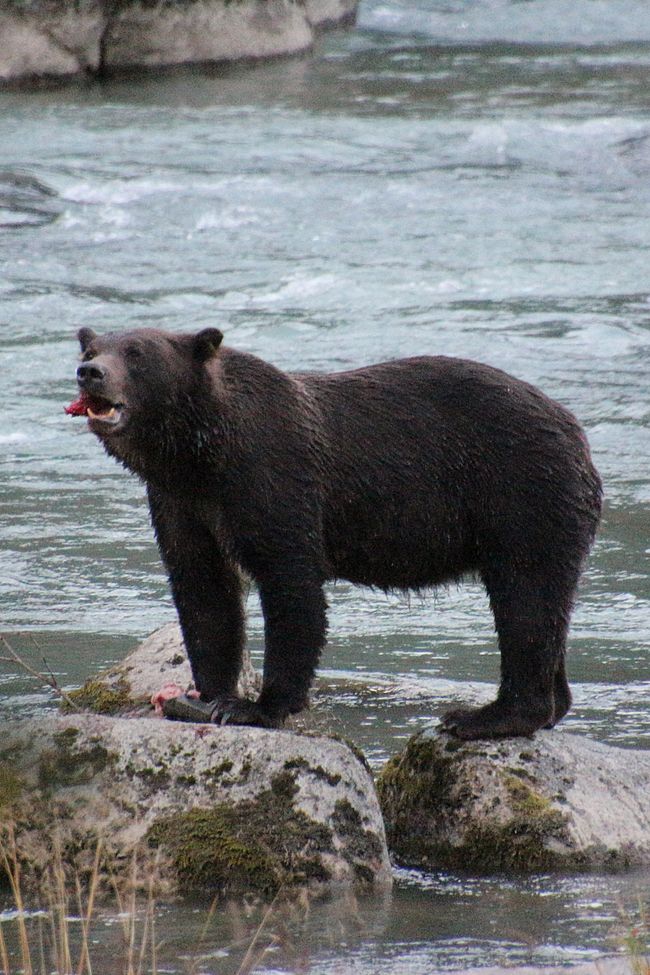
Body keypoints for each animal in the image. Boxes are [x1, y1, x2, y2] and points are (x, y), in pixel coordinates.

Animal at [68, 328, 600, 740]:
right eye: (92, 347)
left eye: (137, 352)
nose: (90, 372)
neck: (200, 453)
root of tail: (577, 430)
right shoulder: (180, 502)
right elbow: (203, 591)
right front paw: (203, 696)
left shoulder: (273, 476)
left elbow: (291, 584)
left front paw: (256, 706)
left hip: (521, 493)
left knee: (526, 598)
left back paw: (482, 717)